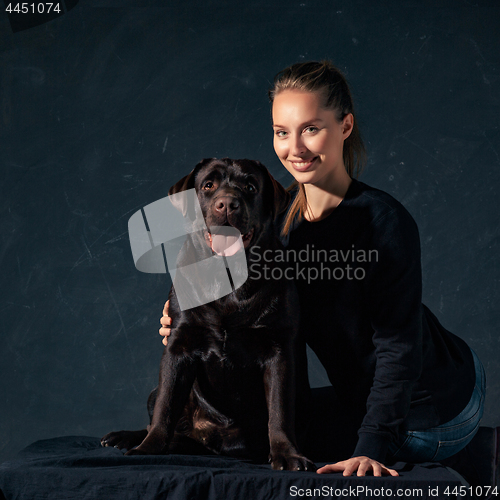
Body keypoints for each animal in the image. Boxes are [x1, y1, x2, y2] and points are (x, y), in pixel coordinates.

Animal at [101, 158, 314, 470]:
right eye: (208, 186)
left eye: (251, 187)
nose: (226, 204)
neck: (228, 278)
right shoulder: (178, 346)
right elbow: (165, 406)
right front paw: (148, 448)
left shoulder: (278, 351)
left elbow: (280, 410)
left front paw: (286, 453)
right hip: (157, 393)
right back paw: (127, 437)